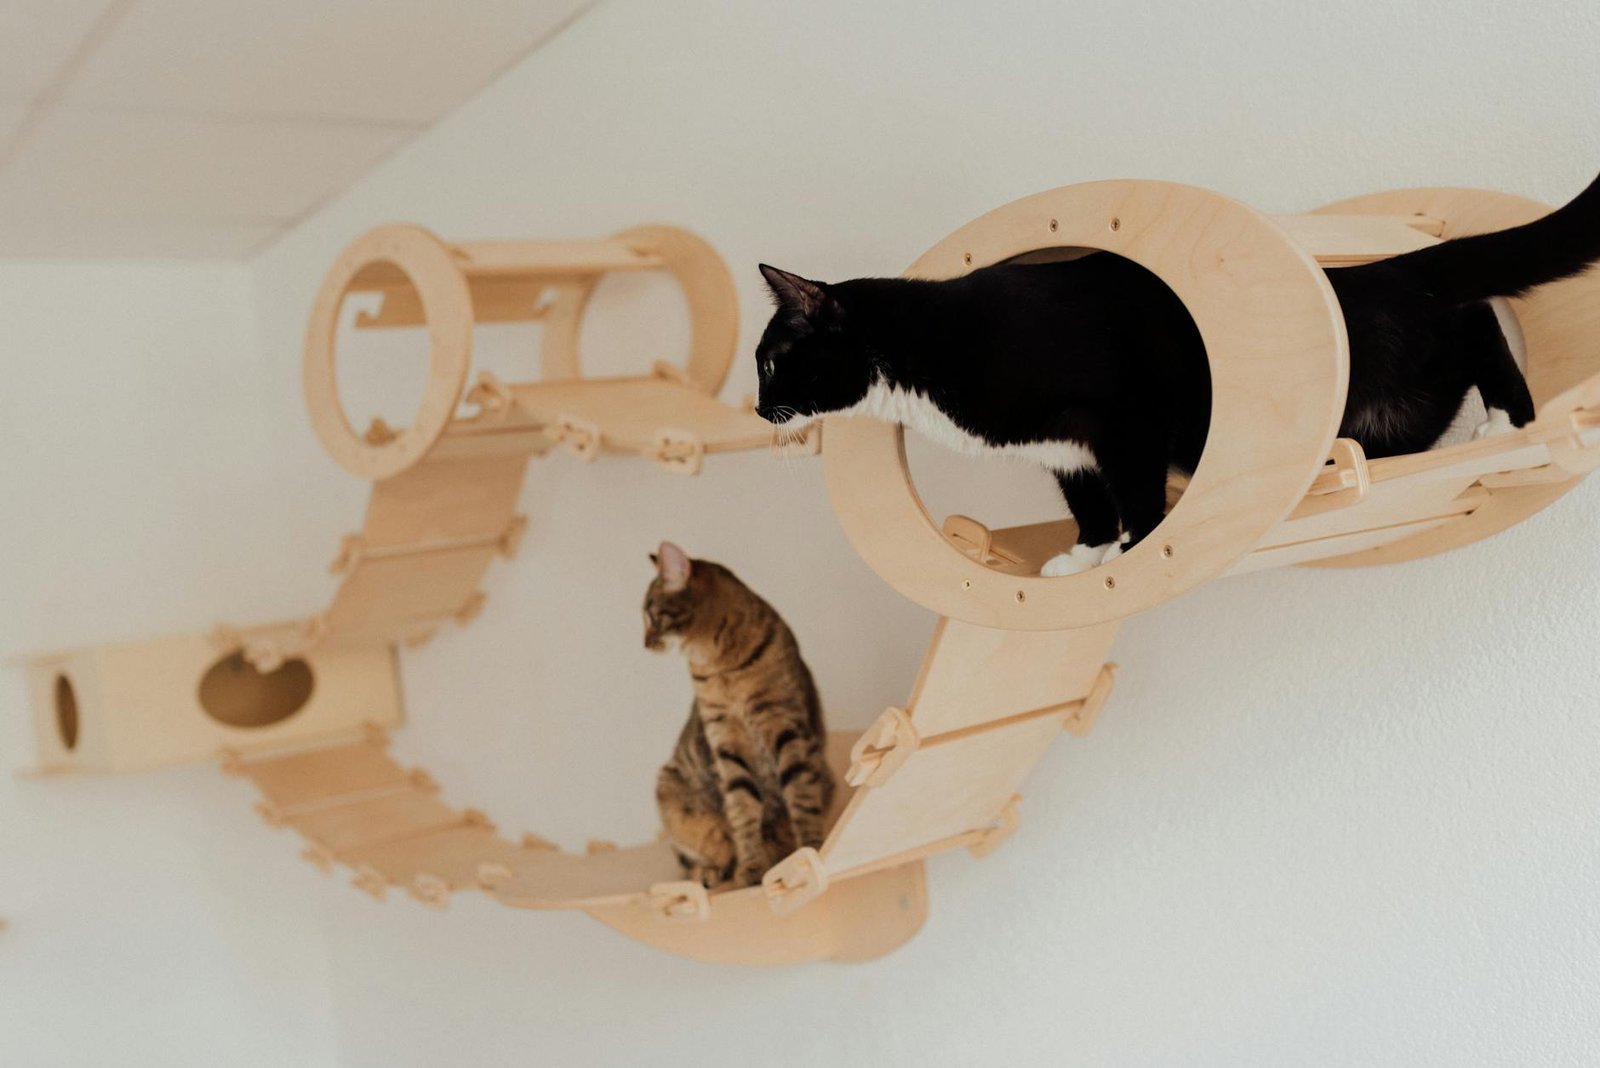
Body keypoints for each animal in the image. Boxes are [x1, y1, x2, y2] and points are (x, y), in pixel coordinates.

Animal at [643, 543, 832, 882]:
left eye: (652, 616)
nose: (645, 642)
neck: (720, 665)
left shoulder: (786, 725)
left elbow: (801, 795)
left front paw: (811, 848)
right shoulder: (725, 741)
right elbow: (741, 811)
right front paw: (752, 866)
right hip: (671, 794)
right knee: (701, 857)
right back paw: (715, 871)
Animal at [748, 171, 1600, 578]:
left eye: (769, 361)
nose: (757, 409)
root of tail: (1384, 267)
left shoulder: (1119, 416)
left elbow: (1133, 490)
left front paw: (1134, 551)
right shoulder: (1064, 450)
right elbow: (1088, 498)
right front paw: (1086, 556)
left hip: (1388, 343)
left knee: (1476, 319)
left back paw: (1508, 418)